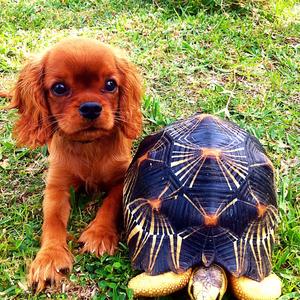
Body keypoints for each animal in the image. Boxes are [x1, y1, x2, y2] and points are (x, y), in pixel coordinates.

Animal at [11, 37, 142, 290]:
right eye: (59, 88)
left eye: (110, 84)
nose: (91, 107)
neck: (88, 146)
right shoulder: (57, 186)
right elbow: (52, 219)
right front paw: (49, 258)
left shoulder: (123, 178)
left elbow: (110, 204)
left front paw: (99, 235)